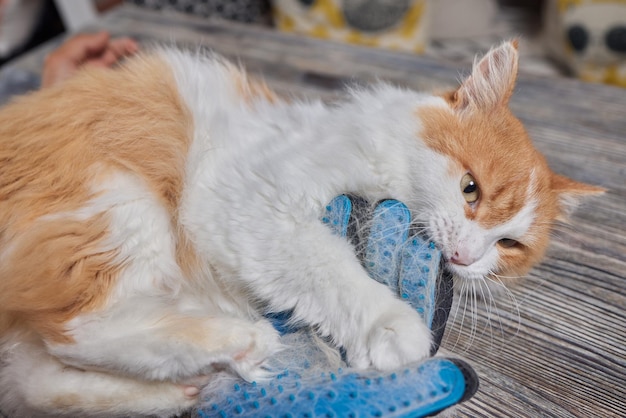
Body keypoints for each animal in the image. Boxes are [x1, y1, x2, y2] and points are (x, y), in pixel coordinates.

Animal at [0, 40, 600, 418]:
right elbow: (335, 270)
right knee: (79, 332)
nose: (467, 255)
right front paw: (392, 327)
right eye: (470, 188)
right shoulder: (254, 202)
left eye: (508, 244)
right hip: (117, 207)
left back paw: (194, 385)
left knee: (45, 378)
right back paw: (239, 341)